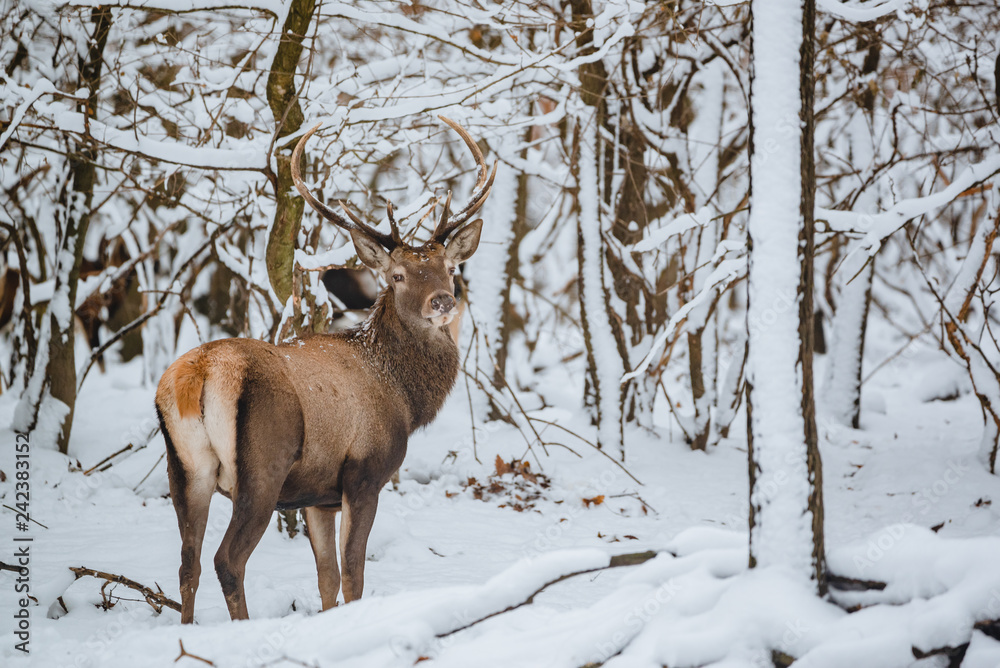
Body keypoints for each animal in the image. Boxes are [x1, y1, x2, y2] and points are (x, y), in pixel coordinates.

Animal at [155, 116, 496, 623]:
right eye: (397, 276)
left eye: (450, 268)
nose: (442, 302)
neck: (404, 397)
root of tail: (199, 374)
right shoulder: (364, 473)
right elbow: (353, 575)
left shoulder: (318, 496)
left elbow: (327, 579)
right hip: (262, 467)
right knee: (226, 559)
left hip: (185, 470)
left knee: (187, 562)